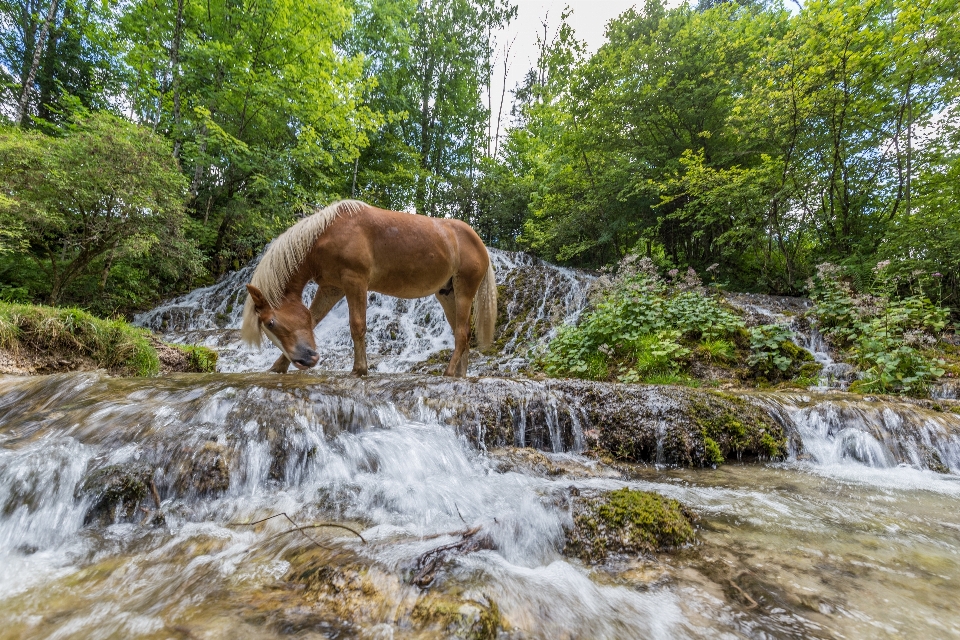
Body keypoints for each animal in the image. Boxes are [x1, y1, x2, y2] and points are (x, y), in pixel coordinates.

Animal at [240, 201, 498, 376]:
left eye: (270, 323)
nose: (309, 359)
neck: (326, 233)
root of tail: (479, 242)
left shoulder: (355, 281)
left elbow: (357, 325)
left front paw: (359, 369)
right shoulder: (332, 288)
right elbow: (313, 319)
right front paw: (278, 366)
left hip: (464, 292)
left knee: (462, 334)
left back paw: (448, 373)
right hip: (447, 294)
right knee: (462, 334)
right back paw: (460, 375)